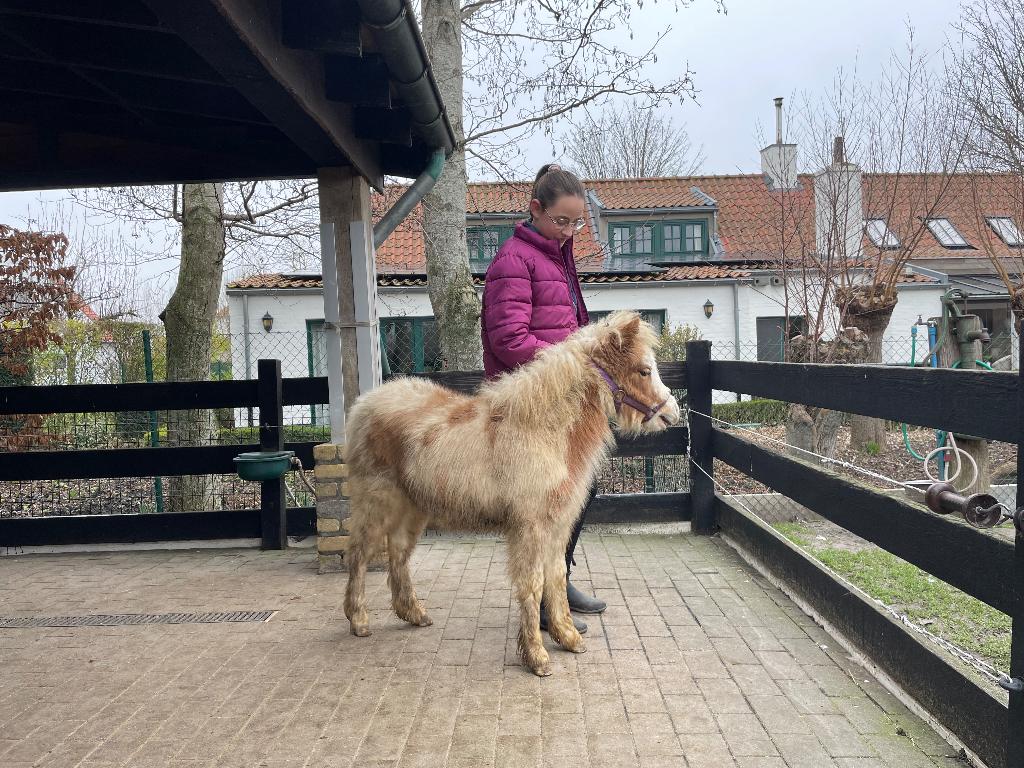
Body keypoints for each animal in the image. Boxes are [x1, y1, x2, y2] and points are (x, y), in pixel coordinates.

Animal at [341, 311, 682, 676]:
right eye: (643, 370)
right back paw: (358, 619)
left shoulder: (557, 525)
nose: (672, 413)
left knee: (399, 554)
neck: (543, 430)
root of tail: (363, 405)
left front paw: (568, 637)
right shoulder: (529, 526)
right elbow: (533, 583)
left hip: (413, 507)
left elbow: (556, 576)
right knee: (360, 553)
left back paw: (413, 613)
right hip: (377, 502)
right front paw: (536, 655)